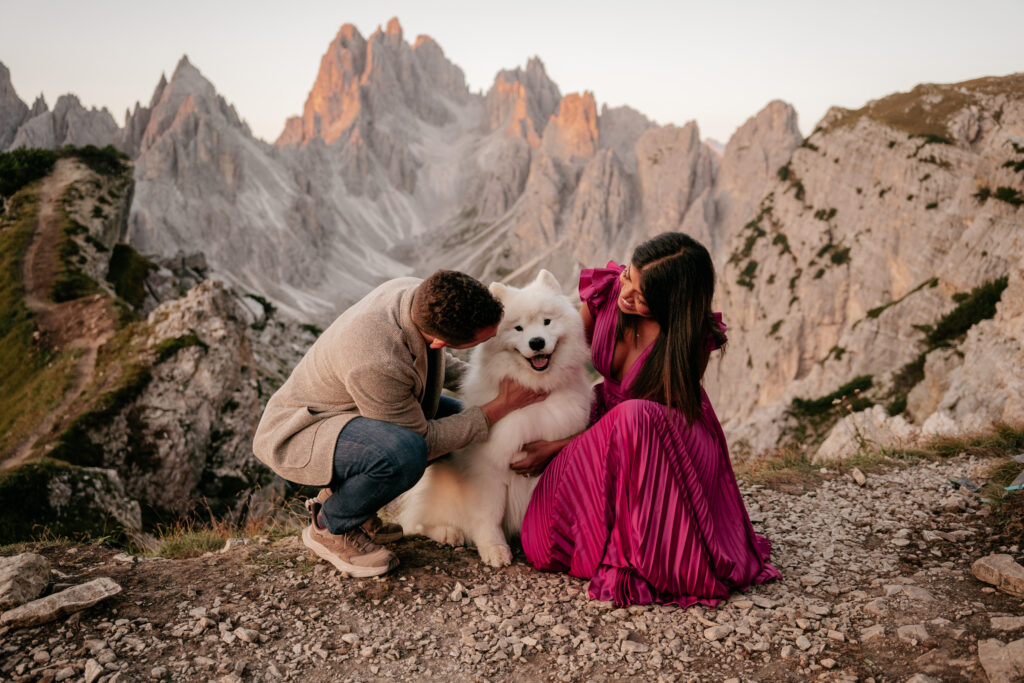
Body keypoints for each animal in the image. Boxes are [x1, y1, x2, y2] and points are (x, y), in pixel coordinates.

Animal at [395, 270, 598, 569]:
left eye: (547, 322)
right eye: (519, 329)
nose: (537, 342)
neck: (534, 392)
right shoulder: (489, 469)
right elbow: (489, 515)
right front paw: (495, 549)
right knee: (419, 522)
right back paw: (448, 533)